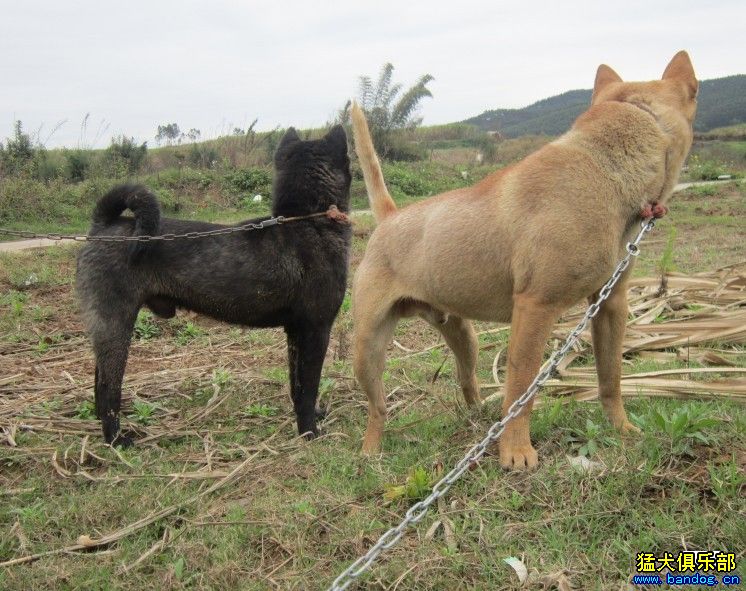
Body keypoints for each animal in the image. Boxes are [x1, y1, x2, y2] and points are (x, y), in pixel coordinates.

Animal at [75, 127, 352, 446]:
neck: (307, 222)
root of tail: (104, 226)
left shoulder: (295, 332)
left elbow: (296, 385)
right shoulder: (316, 330)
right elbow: (308, 388)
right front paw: (308, 431)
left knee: (98, 382)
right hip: (116, 327)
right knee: (108, 387)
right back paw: (116, 439)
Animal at [348, 51, 696, 470]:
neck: (603, 167)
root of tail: (390, 217)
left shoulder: (611, 304)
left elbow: (610, 378)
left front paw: (622, 428)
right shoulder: (535, 306)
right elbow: (520, 387)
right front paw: (515, 450)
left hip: (463, 335)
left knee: (467, 379)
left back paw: (478, 417)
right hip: (367, 346)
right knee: (377, 406)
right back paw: (371, 450)